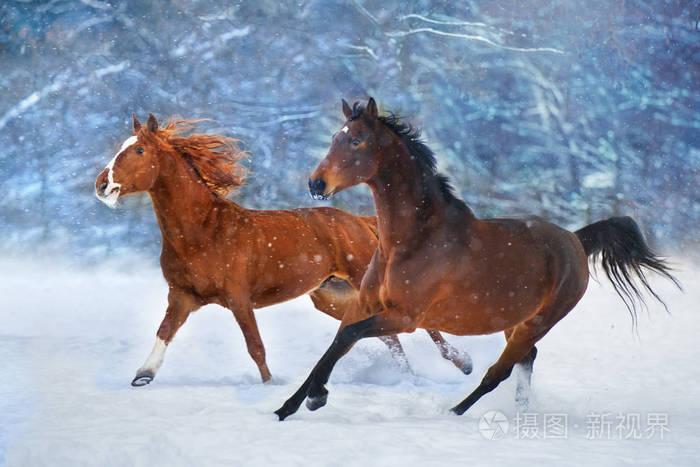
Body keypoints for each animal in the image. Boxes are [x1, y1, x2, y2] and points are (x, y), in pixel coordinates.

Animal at [94, 113, 473, 386]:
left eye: (139, 151)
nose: (102, 184)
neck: (203, 231)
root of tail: (359, 222)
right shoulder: (182, 296)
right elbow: (164, 331)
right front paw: (143, 375)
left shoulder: (238, 298)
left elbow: (256, 347)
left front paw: (270, 386)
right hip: (332, 297)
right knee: (388, 336)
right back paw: (408, 377)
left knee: (414, 324)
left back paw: (463, 363)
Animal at [274, 98, 680, 420]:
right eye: (334, 138)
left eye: (356, 140)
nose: (316, 184)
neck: (411, 241)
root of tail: (575, 240)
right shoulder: (364, 305)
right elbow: (336, 345)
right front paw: (287, 407)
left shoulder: (404, 317)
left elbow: (348, 338)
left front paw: (316, 398)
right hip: (515, 320)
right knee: (526, 359)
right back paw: (521, 412)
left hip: (539, 321)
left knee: (499, 371)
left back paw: (454, 411)